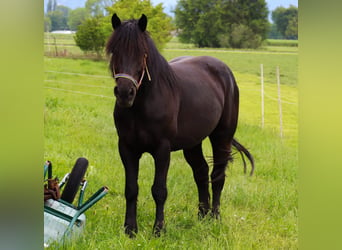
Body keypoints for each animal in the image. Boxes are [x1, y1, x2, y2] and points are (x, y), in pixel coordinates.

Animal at [106, 13, 254, 236]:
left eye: (142, 54)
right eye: (115, 50)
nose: (125, 93)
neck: (142, 105)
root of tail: (224, 71)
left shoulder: (162, 149)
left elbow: (159, 190)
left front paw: (159, 230)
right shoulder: (127, 148)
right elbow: (131, 189)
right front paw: (130, 229)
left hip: (222, 136)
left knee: (217, 175)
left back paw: (215, 217)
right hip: (193, 143)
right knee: (201, 172)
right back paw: (202, 216)